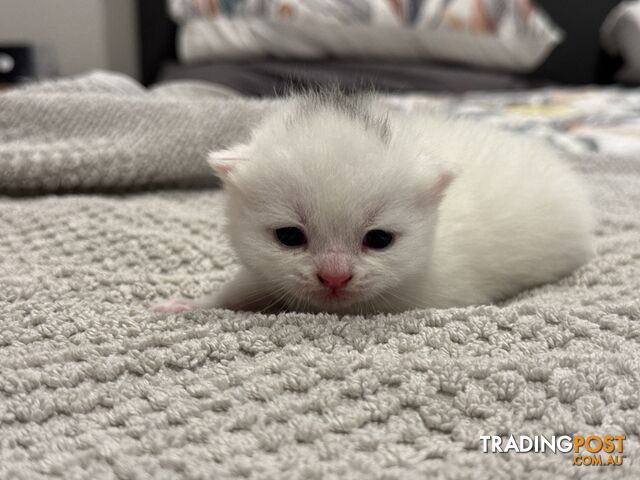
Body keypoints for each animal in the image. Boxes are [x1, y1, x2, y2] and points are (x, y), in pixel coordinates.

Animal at [154, 91, 596, 316]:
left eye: (379, 239)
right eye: (289, 237)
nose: (334, 278)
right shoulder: (266, 274)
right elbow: (236, 292)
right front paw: (189, 305)